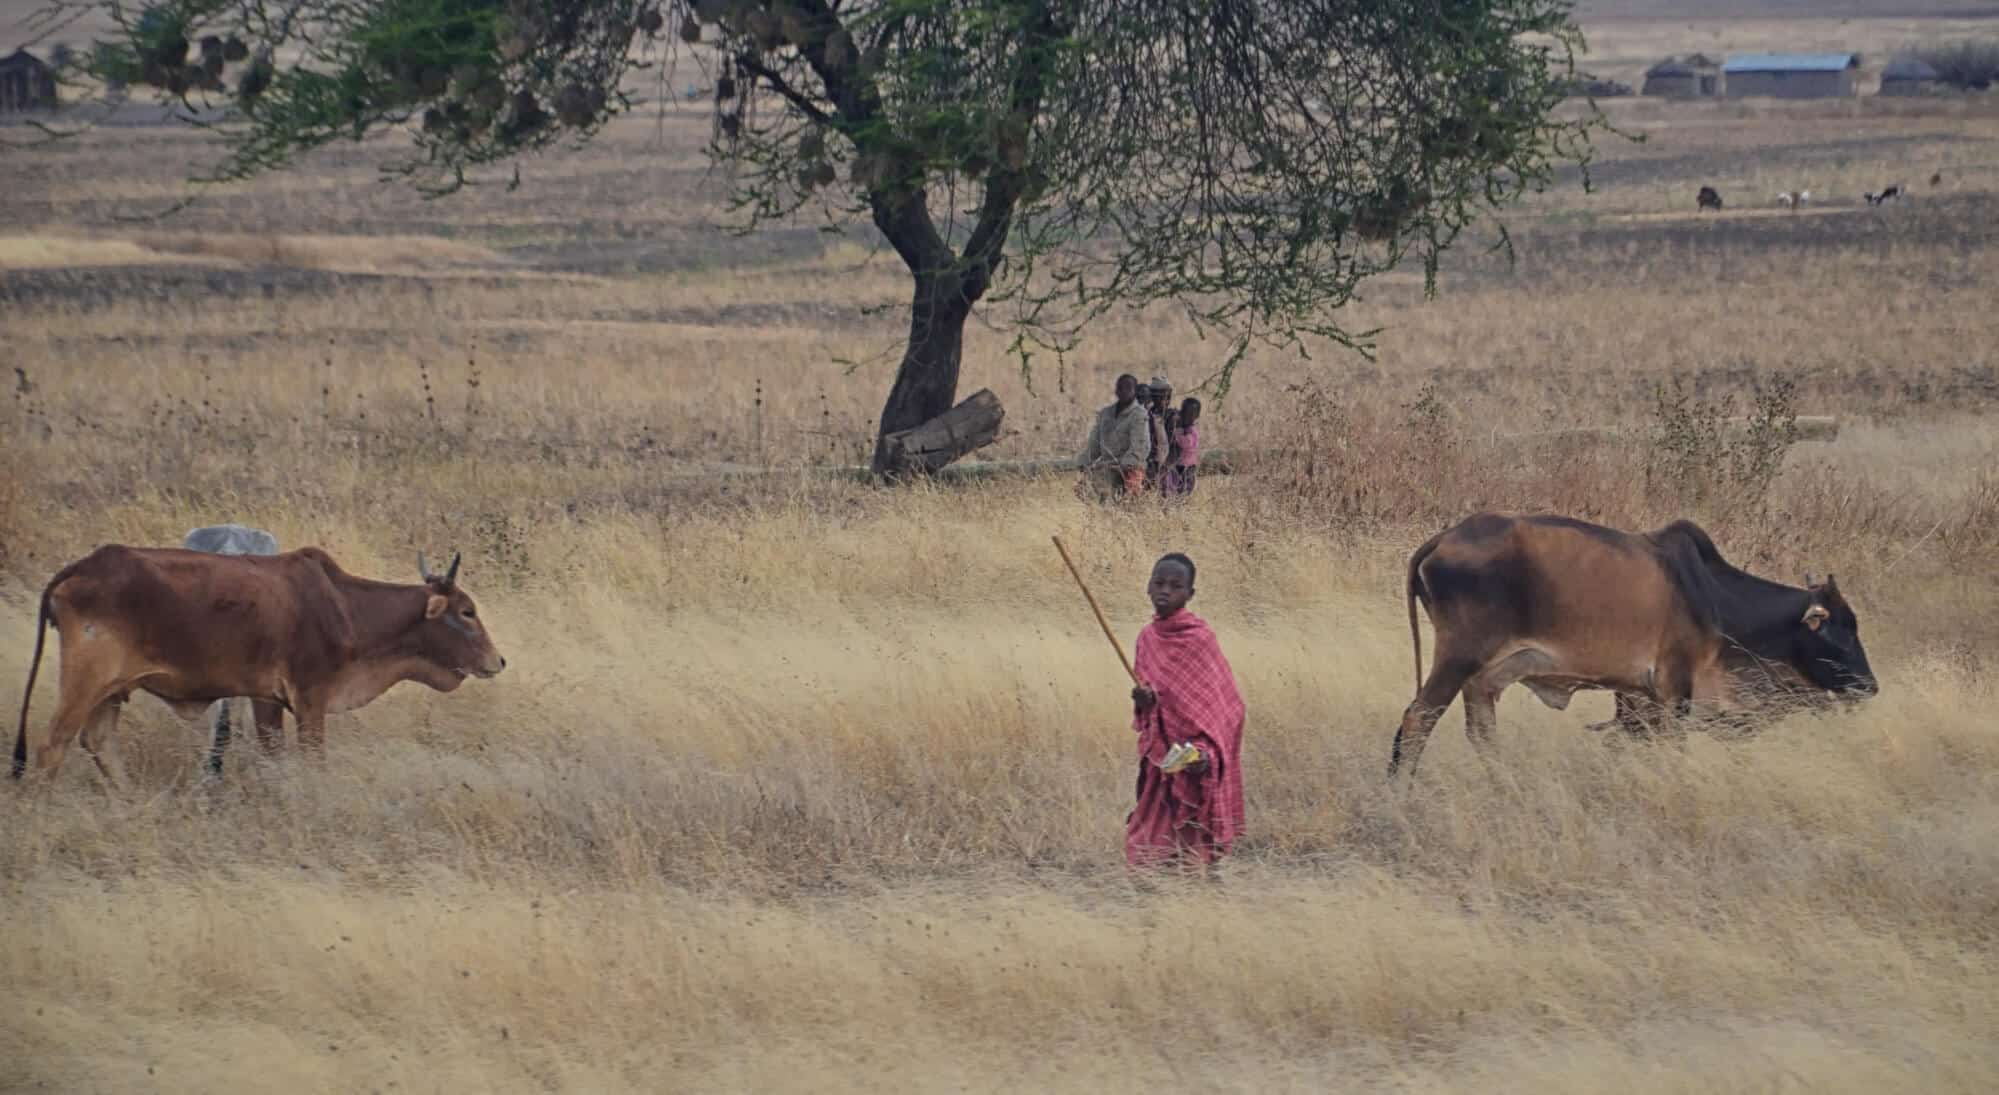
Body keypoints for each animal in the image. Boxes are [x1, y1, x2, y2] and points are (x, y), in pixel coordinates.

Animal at [13, 543, 507, 783]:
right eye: (467, 611)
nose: (498, 660)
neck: (344, 607)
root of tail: (84, 566)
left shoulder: (265, 699)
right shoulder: (311, 699)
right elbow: (312, 761)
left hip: (112, 690)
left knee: (99, 744)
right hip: (86, 680)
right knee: (51, 747)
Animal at [1391, 511, 1871, 779]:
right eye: (1840, 629)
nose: (1871, 685)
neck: (1713, 597)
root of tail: (1444, 539)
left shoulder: (1638, 698)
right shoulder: (1675, 690)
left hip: (1483, 678)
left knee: (1481, 732)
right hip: (1458, 657)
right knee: (1418, 719)